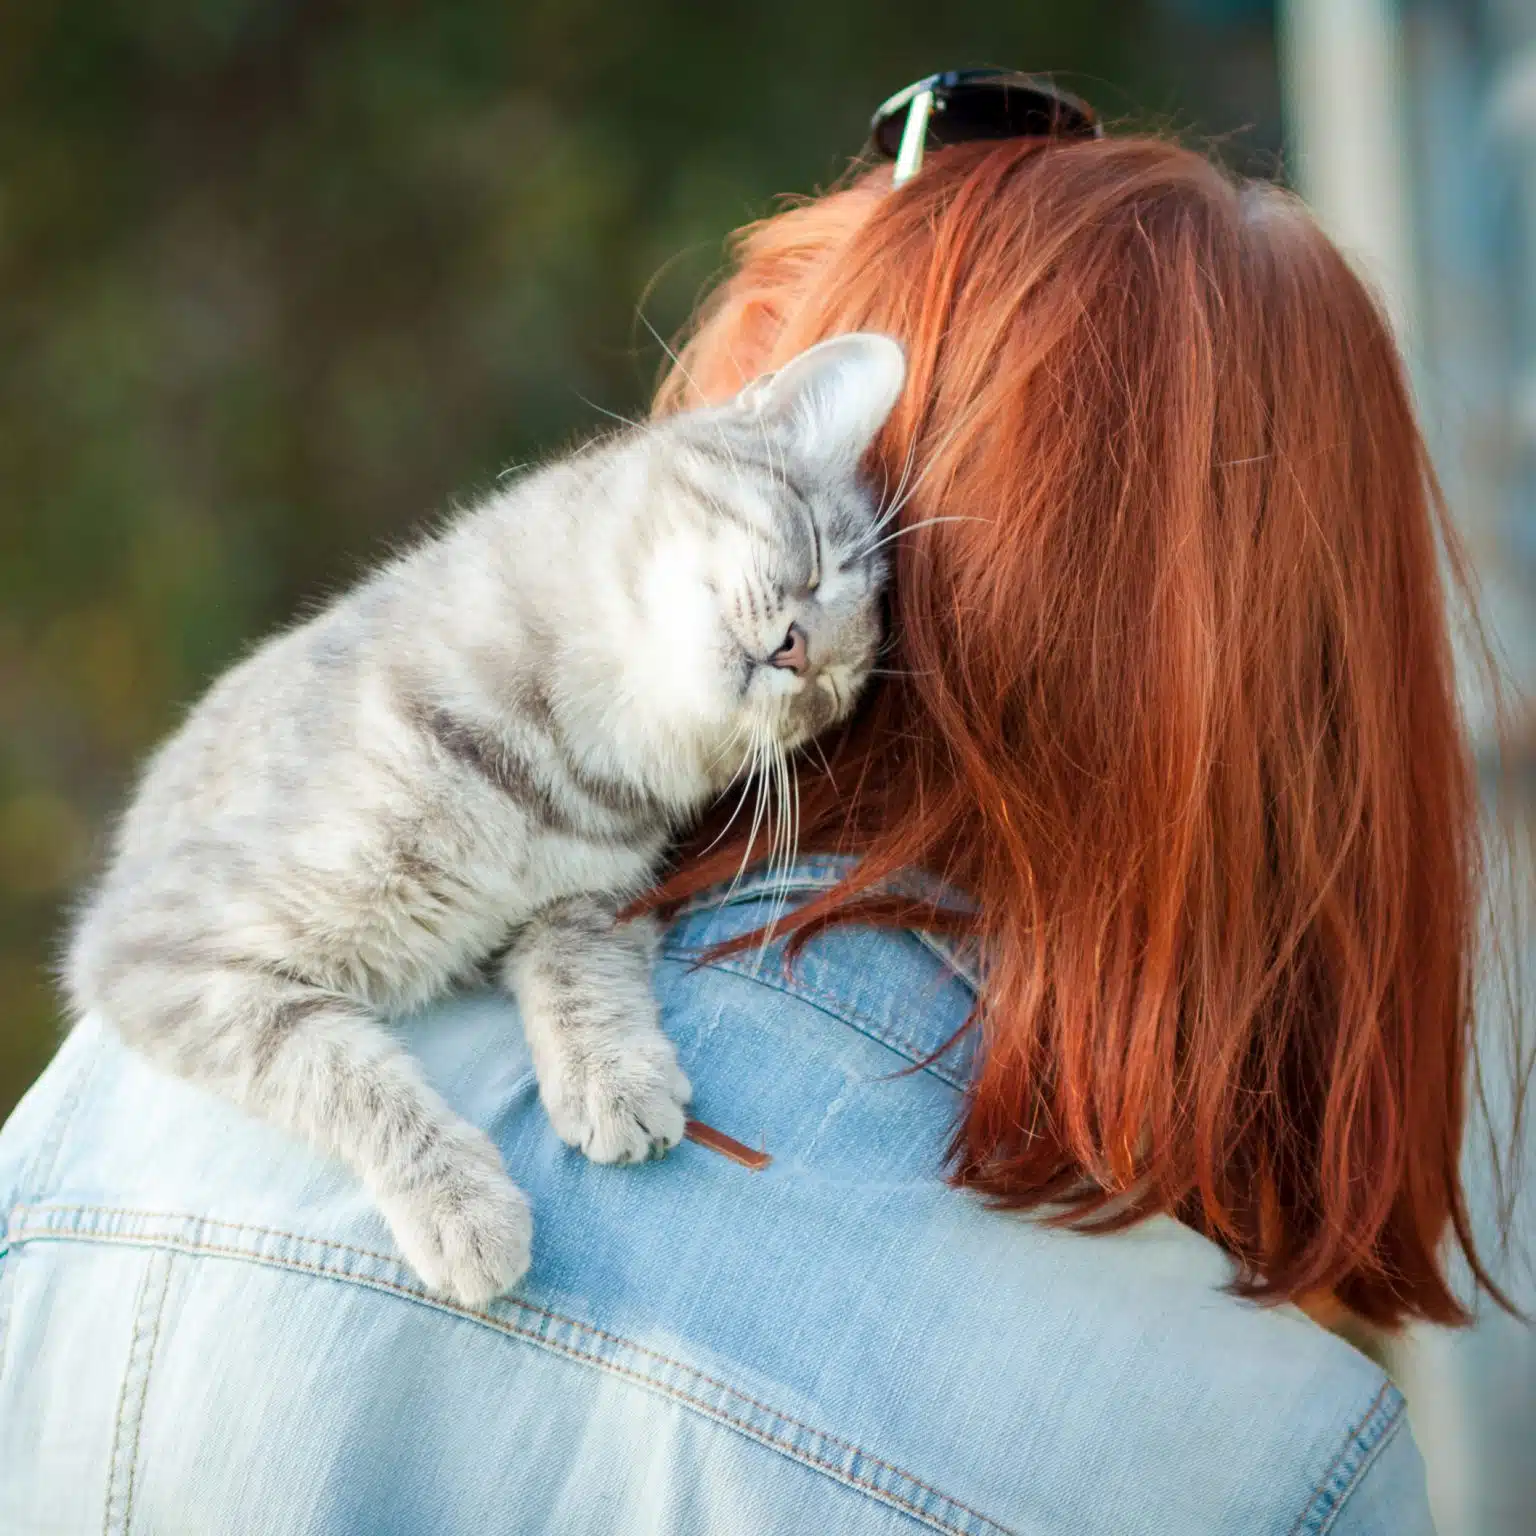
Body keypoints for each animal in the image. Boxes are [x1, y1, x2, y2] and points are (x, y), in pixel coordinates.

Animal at [69, 336, 909, 1308]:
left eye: (834, 696)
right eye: (813, 548)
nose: (802, 654)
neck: (548, 758)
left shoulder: (605, 892)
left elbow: (579, 958)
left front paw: (612, 1074)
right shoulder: (159, 953)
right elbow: (343, 1072)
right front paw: (459, 1204)